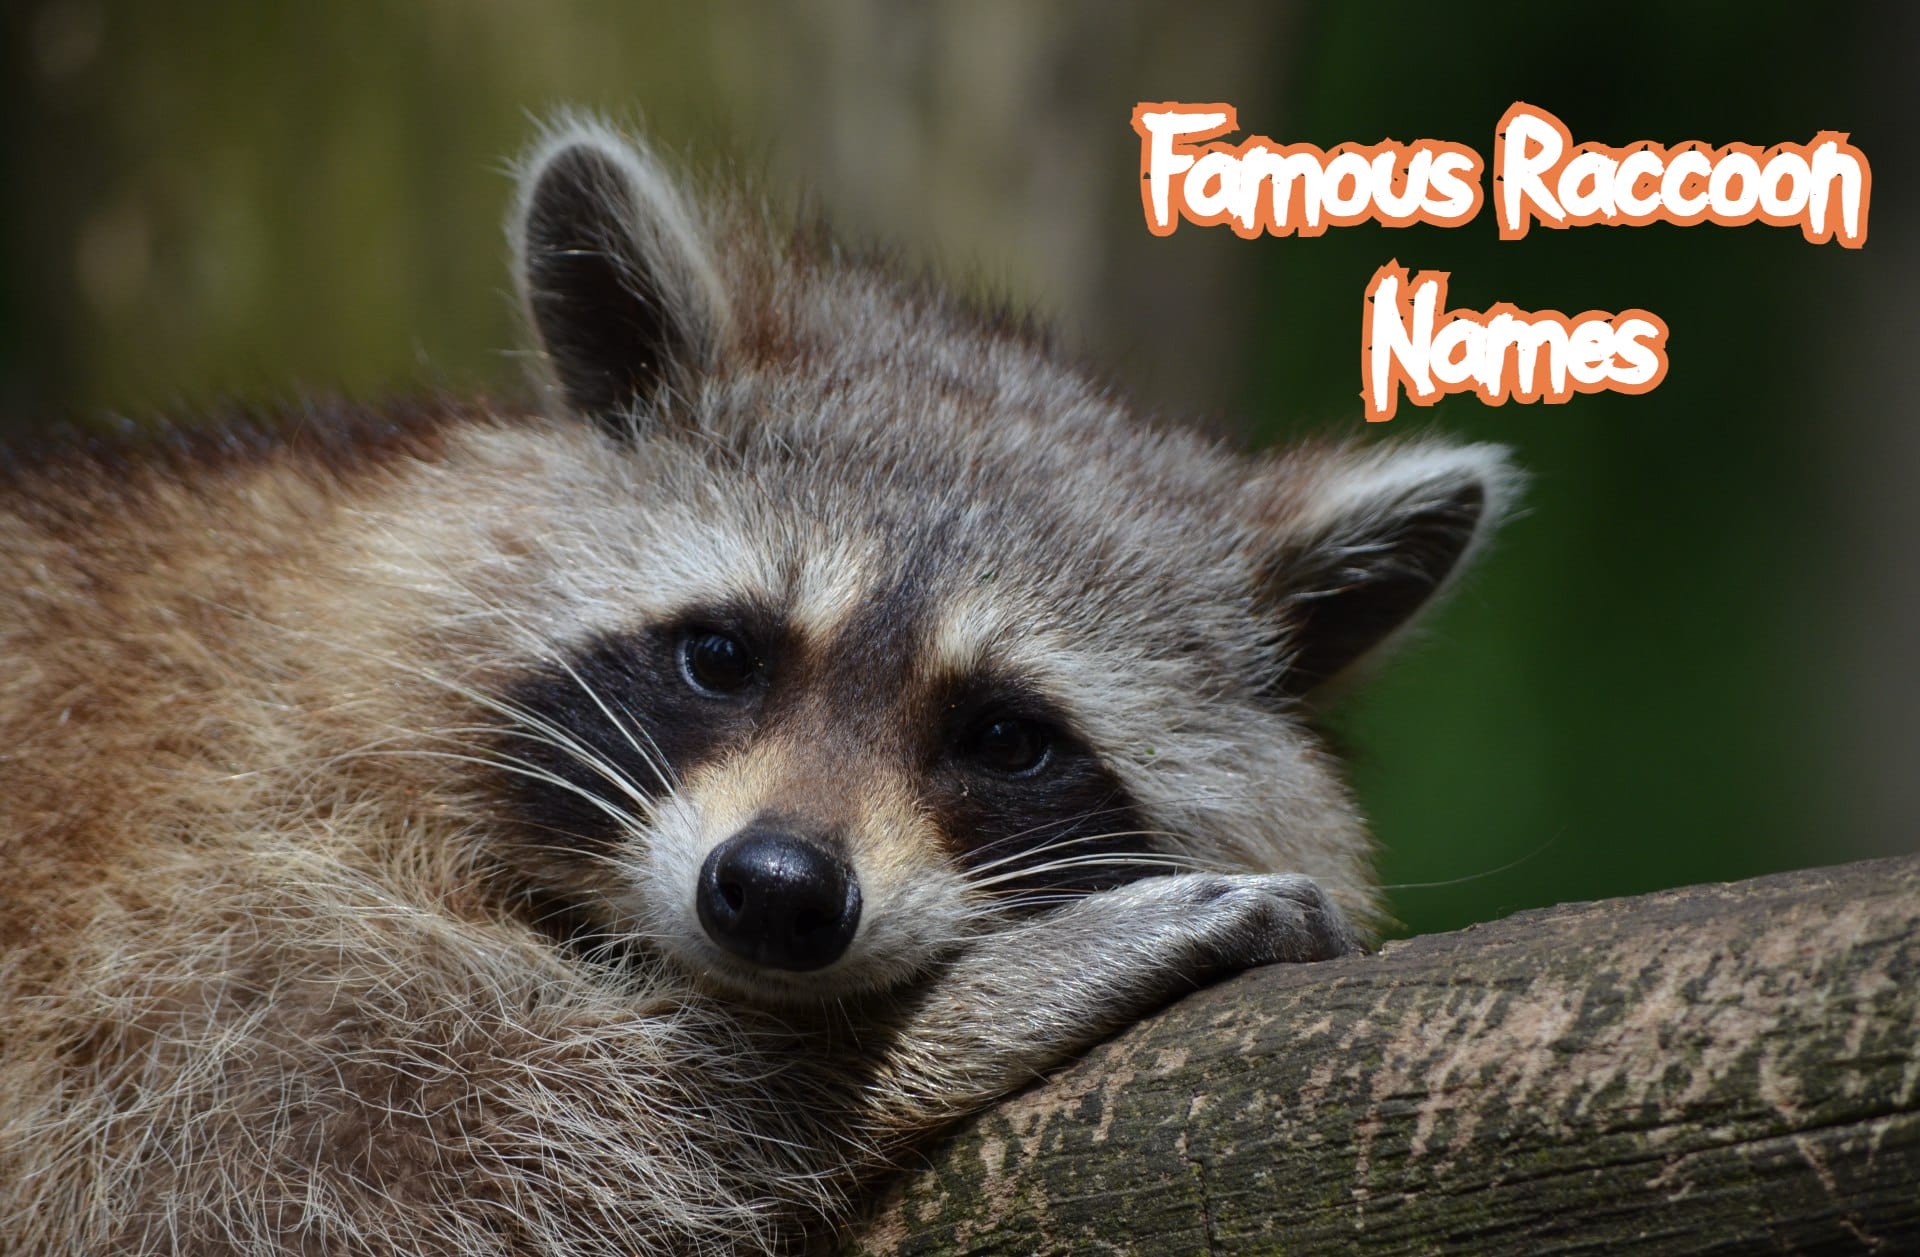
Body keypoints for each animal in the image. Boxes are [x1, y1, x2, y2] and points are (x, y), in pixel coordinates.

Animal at [0, 119, 1514, 1255]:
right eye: (722, 656)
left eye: (1007, 738)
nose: (778, 892)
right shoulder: (195, 873)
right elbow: (341, 1144)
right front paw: (924, 1028)